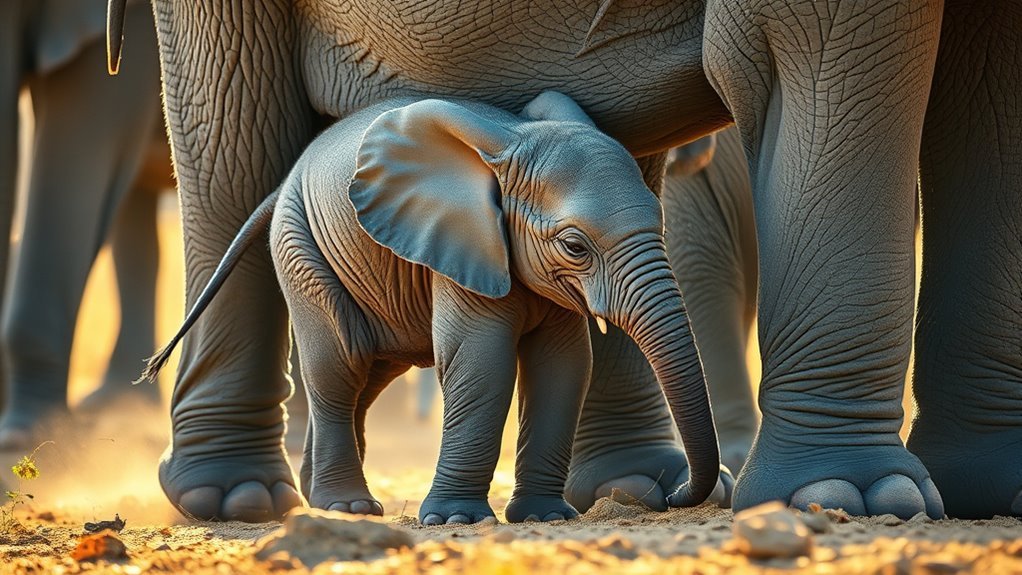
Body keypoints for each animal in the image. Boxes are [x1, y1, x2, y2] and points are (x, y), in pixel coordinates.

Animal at [143, 91, 723, 524]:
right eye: (575, 246)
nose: (672, 496)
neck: (512, 142)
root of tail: (286, 179)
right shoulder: (465, 249)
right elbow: (482, 364)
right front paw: (455, 520)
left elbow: (563, 368)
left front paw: (545, 517)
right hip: (300, 243)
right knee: (338, 368)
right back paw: (347, 508)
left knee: (368, 377)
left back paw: (323, 499)